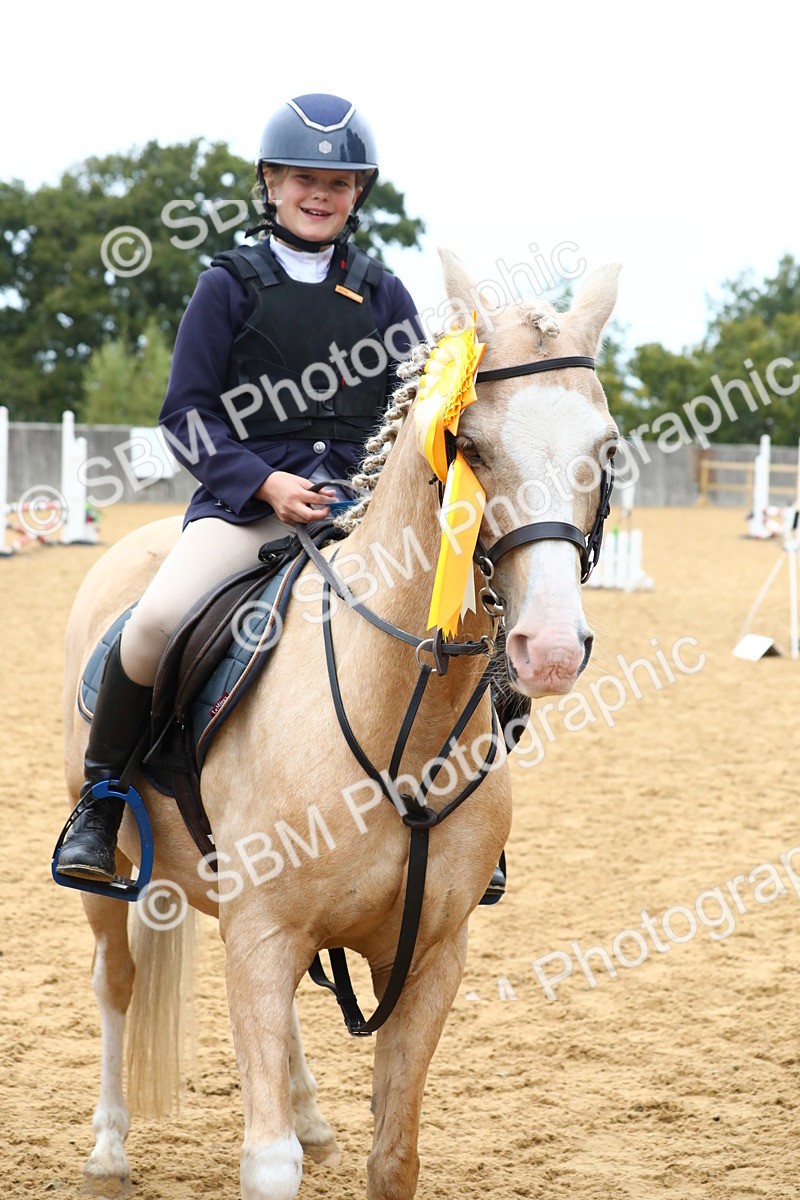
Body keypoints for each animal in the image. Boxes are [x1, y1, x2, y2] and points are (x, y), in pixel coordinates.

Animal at [61, 249, 621, 1199]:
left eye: (605, 449)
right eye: (469, 446)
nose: (548, 648)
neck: (400, 720)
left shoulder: (428, 957)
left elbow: (394, 1153)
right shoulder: (262, 934)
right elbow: (268, 1162)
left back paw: (312, 1115)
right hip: (116, 877)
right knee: (116, 982)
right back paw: (106, 1145)